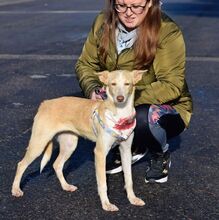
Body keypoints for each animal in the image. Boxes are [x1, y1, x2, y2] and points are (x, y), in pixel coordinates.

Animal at [11, 69, 145, 211]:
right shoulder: (100, 153)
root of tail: (45, 103)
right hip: (38, 144)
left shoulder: (126, 151)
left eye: (127, 84)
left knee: (57, 164)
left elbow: (129, 179)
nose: (120, 98)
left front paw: (132, 199)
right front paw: (106, 204)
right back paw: (16, 190)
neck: (119, 114)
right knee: (21, 165)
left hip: (69, 144)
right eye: (113, 84)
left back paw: (66, 186)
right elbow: (103, 183)